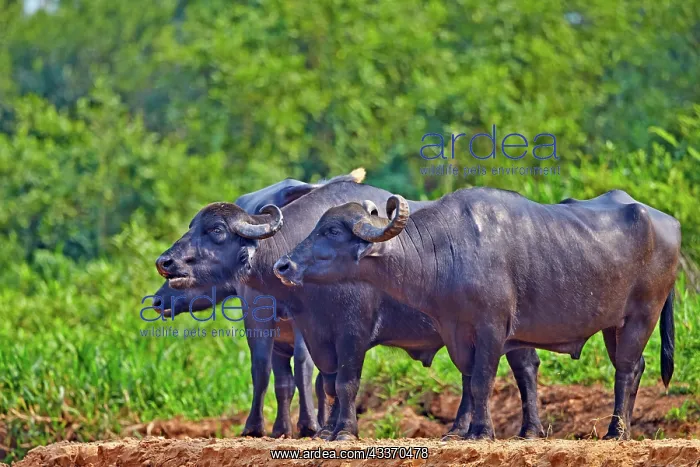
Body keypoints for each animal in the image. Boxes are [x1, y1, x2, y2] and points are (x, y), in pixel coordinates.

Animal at [155, 179, 546, 441]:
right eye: (191, 226)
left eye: (216, 230)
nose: (165, 262)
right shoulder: (314, 330)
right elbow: (322, 381)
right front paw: (324, 429)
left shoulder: (336, 328)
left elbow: (321, 379)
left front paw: (314, 429)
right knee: (481, 372)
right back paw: (463, 430)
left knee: (520, 368)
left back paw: (526, 430)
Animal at [275, 187, 680, 440]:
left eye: (330, 230)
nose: (284, 265)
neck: (447, 250)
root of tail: (669, 223)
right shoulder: (455, 329)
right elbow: (469, 380)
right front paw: (465, 431)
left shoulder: (491, 328)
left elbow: (483, 380)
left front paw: (482, 432)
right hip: (614, 325)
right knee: (634, 367)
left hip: (642, 315)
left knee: (626, 369)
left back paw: (617, 432)